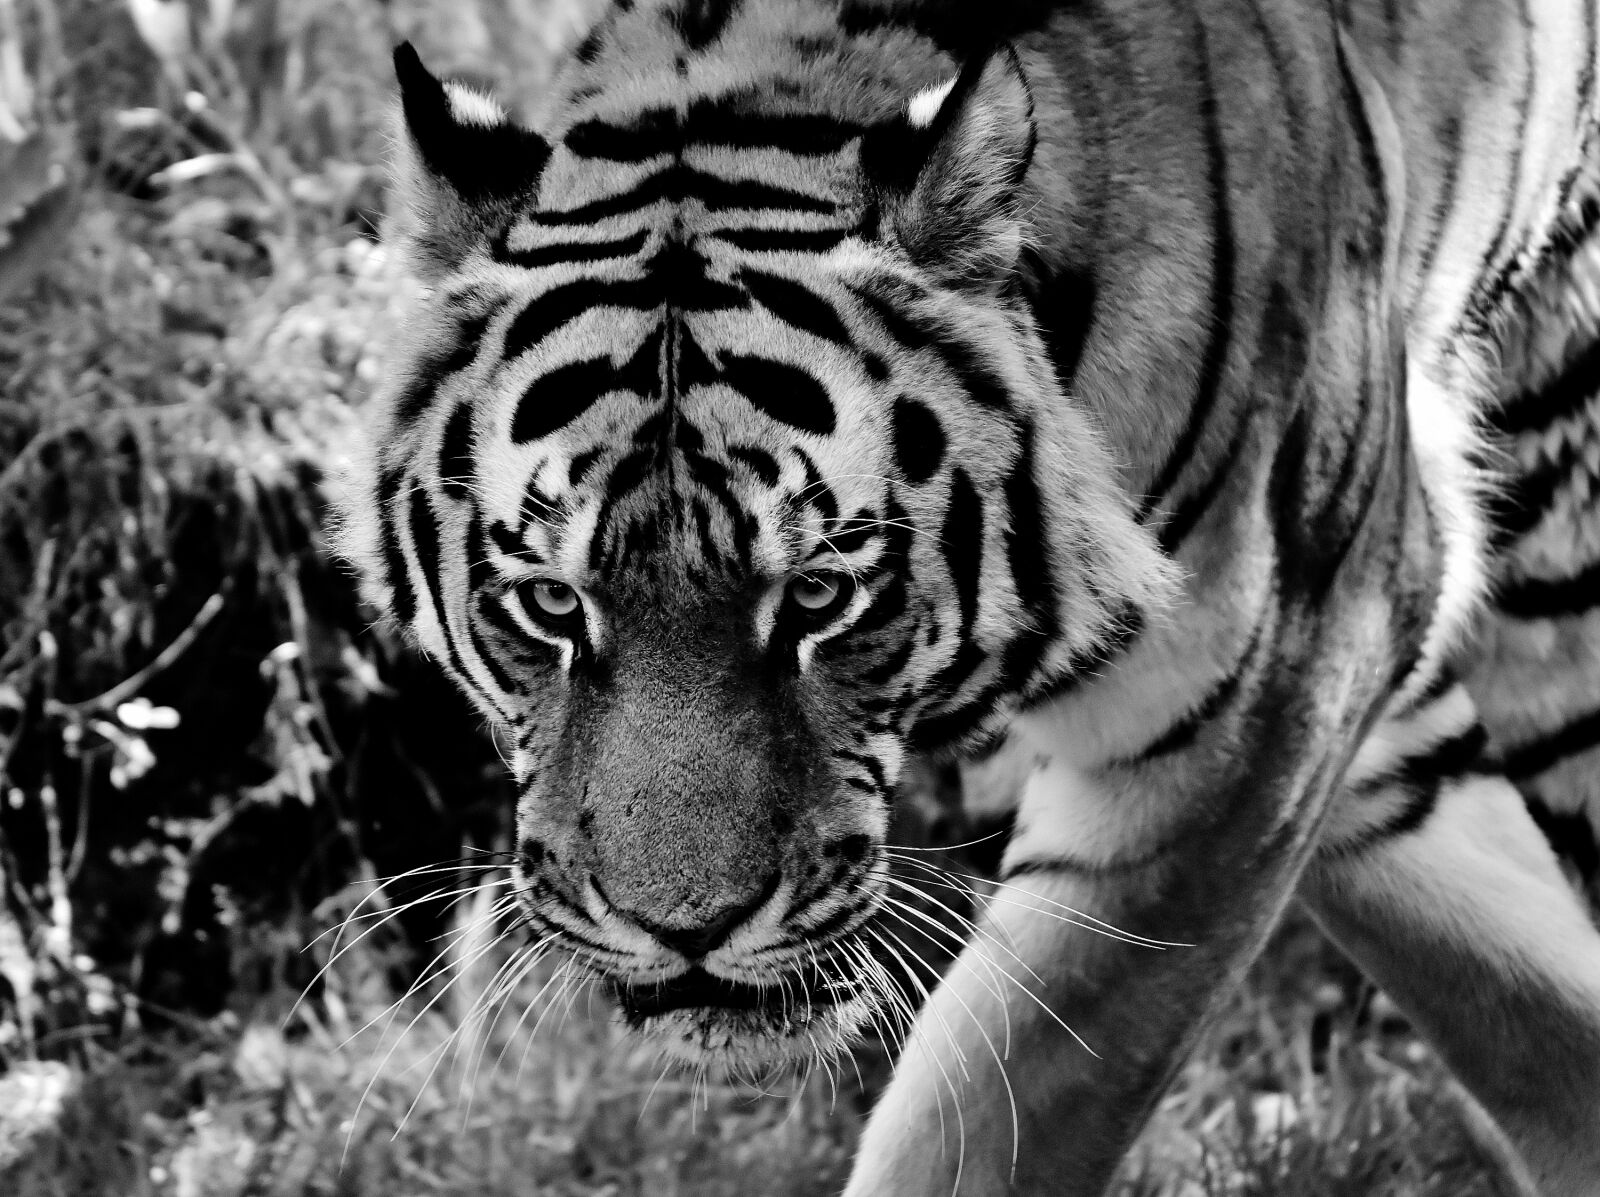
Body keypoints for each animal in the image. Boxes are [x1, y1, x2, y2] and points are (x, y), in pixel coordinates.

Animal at [339, 0, 1600, 1192]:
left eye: (818, 595)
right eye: (550, 604)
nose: (683, 931)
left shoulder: (1248, 716)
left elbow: (995, 1112)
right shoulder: (1344, 696)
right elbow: (1522, 988)